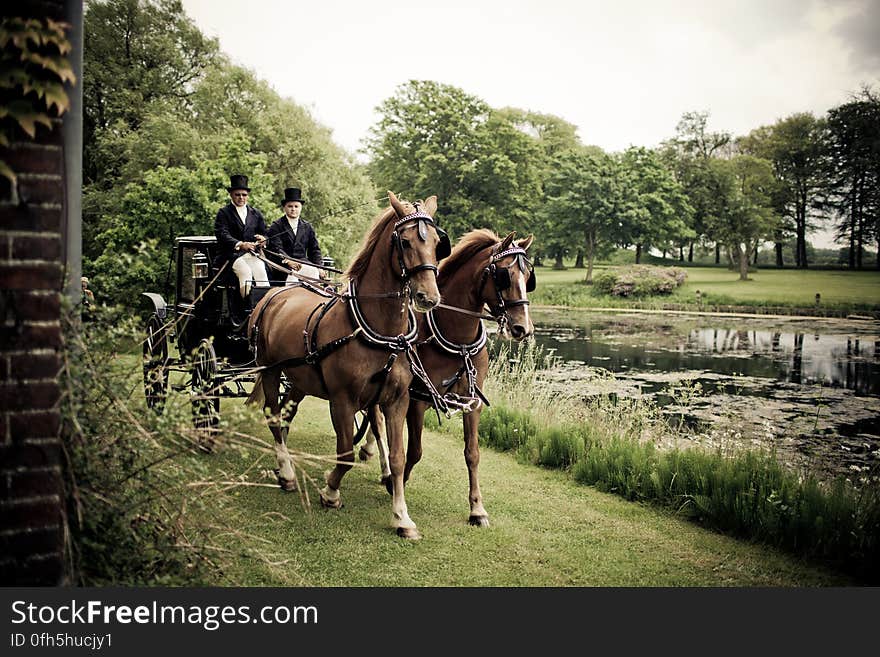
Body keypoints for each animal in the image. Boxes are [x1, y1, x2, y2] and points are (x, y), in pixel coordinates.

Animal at [248, 191, 450, 540]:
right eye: (405, 241)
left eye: (438, 242)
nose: (429, 297)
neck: (381, 331)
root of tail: (274, 295)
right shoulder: (342, 400)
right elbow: (344, 452)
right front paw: (330, 492)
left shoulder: (396, 400)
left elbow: (397, 457)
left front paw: (401, 516)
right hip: (270, 370)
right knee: (273, 416)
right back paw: (286, 472)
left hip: (299, 380)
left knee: (285, 417)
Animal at [360, 228, 536, 524]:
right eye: (505, 275)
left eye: (528, 278)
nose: (523, 328)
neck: (458, 340)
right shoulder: (417, 399)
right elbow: (415, 450)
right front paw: (397, 485)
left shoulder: (472, 403)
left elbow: (472, 453)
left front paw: (477, 508)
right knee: (376, 420)